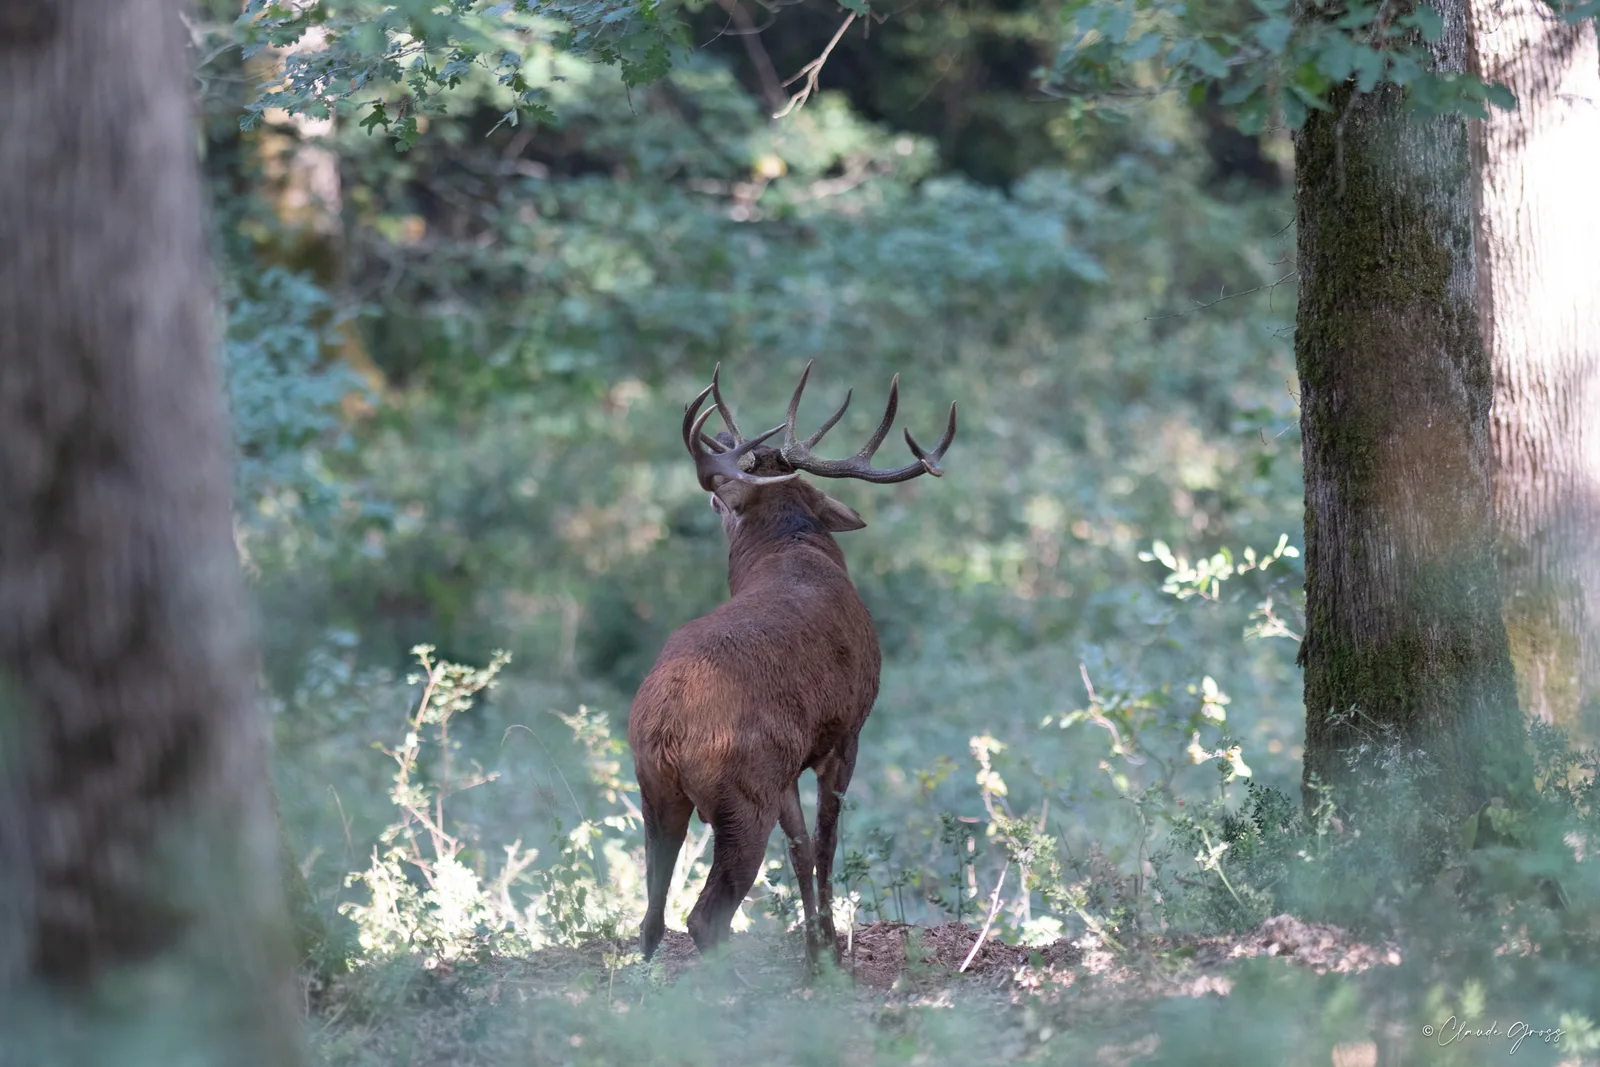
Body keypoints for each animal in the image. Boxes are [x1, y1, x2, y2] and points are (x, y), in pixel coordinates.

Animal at [628, 361, 956, 967]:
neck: (792, 549)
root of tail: (665, 728)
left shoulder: (790, 760)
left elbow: (800, 846)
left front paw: (815, 947)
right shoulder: (846, 729)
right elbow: (826, 839)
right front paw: (829, 954)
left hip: (656, 790)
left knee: (652, 915)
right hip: (741, 790)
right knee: (705, 915)